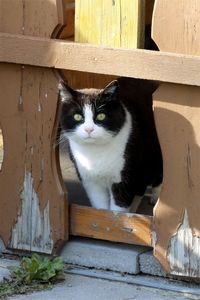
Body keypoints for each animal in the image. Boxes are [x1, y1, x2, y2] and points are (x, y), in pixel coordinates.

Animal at [59, 78, 162, 212]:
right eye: (77, 116)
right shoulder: (91, 182)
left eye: (101, 116)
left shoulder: (124, 179)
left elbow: (117, 211)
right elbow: (101, 207)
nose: (88, 129)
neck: (95, 153)